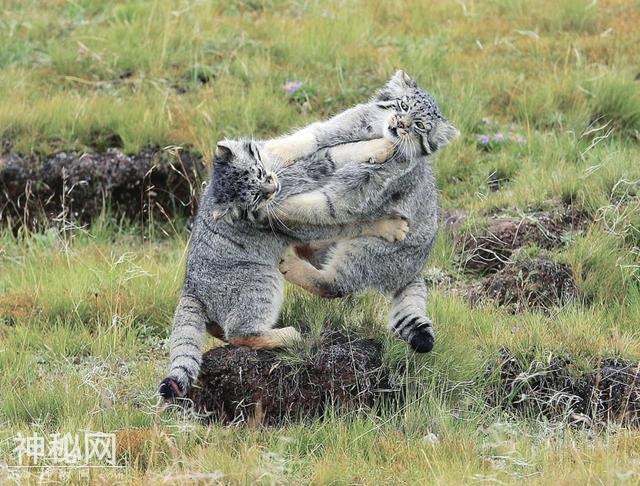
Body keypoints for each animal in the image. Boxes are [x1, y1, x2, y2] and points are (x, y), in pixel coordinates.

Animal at [159, 136, 404, 398]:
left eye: (259, 172)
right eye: (256, 198)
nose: (273, 187)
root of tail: (190, 287)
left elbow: (318, 152)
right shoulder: (301, 219)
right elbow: (346, 218)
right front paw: (389, 225)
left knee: (221, 330)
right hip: (262, 279)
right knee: (239, 333)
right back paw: (287, 335)